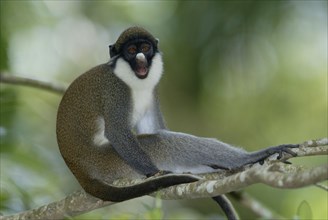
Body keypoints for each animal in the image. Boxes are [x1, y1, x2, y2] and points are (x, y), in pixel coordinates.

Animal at [55, 27, 298, 217]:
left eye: (145, 48)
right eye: (131, 51)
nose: (141, 58)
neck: (132, 79)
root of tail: (79, 170)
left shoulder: (153, 90)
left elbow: (152, 127)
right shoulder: (116, 92)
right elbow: (118, 132)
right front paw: (157, 174)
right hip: (109, 161)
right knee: (161, 141)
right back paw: (247, 159)